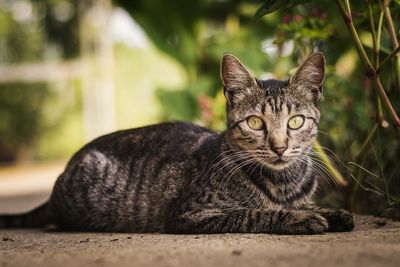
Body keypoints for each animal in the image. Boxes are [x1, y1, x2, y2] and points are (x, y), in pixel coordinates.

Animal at [0, 52, 354, 234]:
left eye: (295, 122)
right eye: (255, 123)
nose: (279, 147)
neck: (283, 184)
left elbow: (308, 205)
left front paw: (332, 212)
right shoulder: (190, 213)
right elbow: (256, 213)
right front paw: (299, 218)